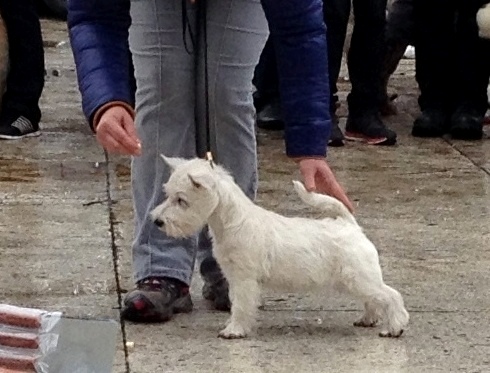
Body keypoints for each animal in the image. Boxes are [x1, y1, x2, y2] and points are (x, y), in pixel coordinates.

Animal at [150, 155, 410, 338]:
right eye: (168, 195)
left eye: (181, 200)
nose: (157, 221)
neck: (232, 221)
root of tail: (349, 224)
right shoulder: (233, 276)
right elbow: (236, 302)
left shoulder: (244, 278)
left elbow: (241, 305)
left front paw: (234, 330)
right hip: (354, 280)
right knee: (373, 299)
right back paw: (367, 319)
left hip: (359, 277)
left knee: (390, 295)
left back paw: (394, 328)